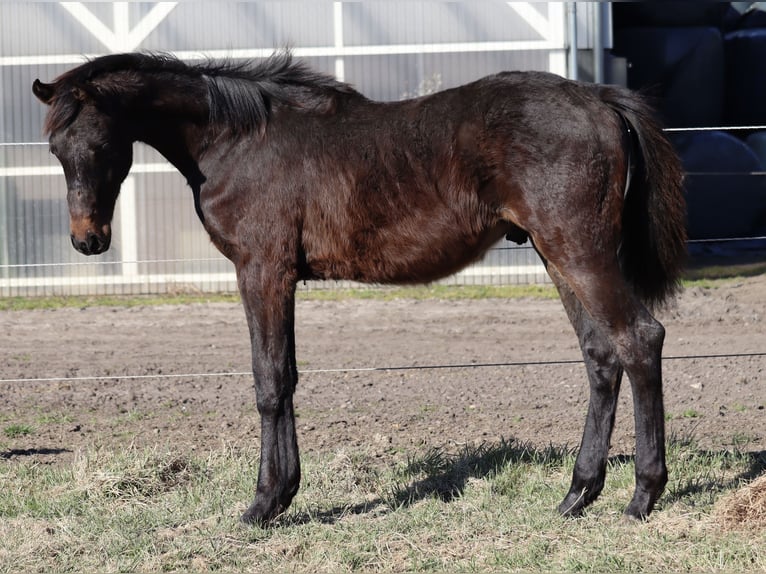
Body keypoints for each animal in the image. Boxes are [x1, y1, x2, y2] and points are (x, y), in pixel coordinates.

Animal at [33, 51, 686, 526]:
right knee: (601, 356)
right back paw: (577, 494)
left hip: (579, 249)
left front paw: (264, 504)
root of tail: (598, 98)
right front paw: (282, 494)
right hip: (556, 255)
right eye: (55, 149)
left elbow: (270, 380)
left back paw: (641, 497)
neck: (237, 139)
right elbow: (286, 376)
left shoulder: (262, 270)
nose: (87, 240)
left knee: (640, 339)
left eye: (100, 145)